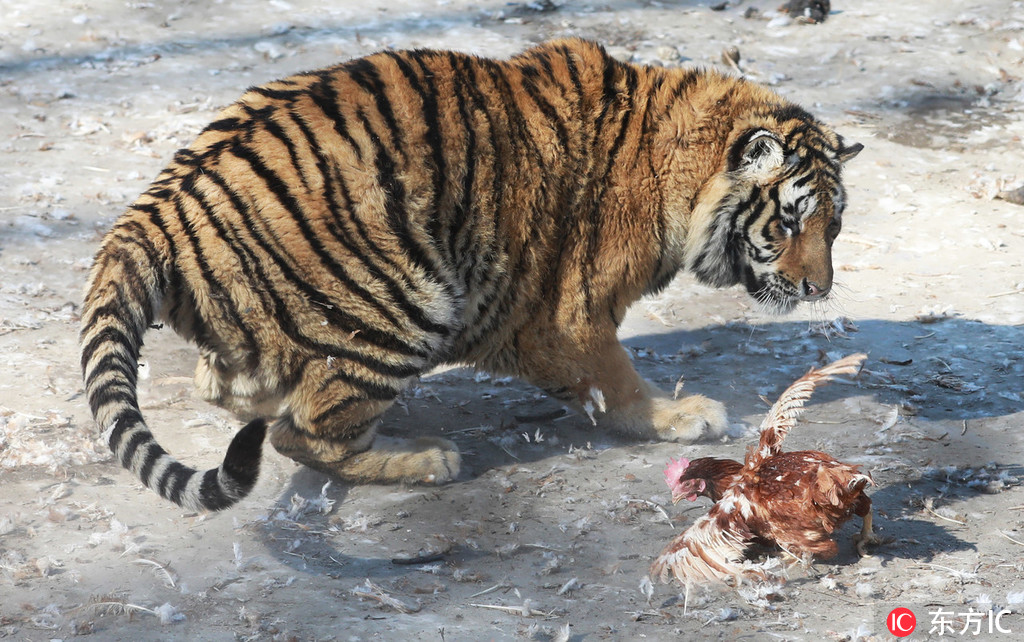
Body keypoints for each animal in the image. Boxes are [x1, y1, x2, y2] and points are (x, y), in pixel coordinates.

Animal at [81, 38, 864, 511]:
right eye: (788, 223)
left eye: (834, 225)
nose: (819, 288)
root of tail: (158, 210)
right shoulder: (569, 317)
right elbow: (617, 382)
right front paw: (680, 417)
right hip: (404, 298)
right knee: (299, 434)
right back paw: (425, 460)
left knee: (232, 390)